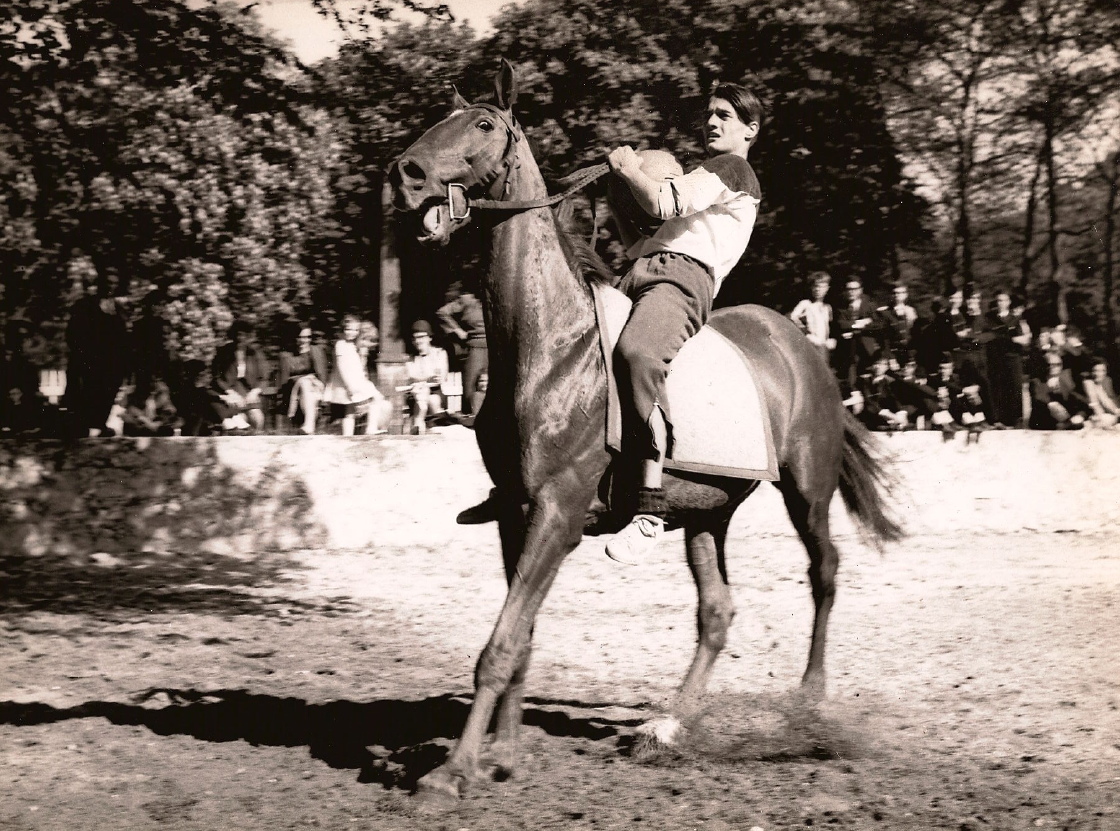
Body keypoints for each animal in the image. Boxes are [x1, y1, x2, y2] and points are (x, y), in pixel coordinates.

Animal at [389, 59, 902, 807]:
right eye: (439, 119)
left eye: (482, 124)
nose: (407, 172)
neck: (550, 344)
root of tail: (804, 346)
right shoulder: (516, 513)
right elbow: (522, 637)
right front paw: (504, 755)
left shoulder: (557, 513)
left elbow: (500, 645)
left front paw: (452, 771)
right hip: (708, 512)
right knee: (717, 612)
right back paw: (666, 726)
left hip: (806, 489)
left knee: (825, 571)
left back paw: (807, 700)